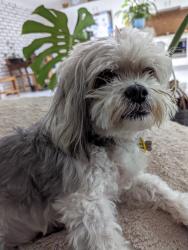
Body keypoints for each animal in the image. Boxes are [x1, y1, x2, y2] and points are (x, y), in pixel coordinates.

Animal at [0, 27, 188, 250]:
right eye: (105, 76)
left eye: (148, 70)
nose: (137, 90)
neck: (107, 144)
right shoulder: (86, 205)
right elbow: (105, 239)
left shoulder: (123, 182)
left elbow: (157, 187)